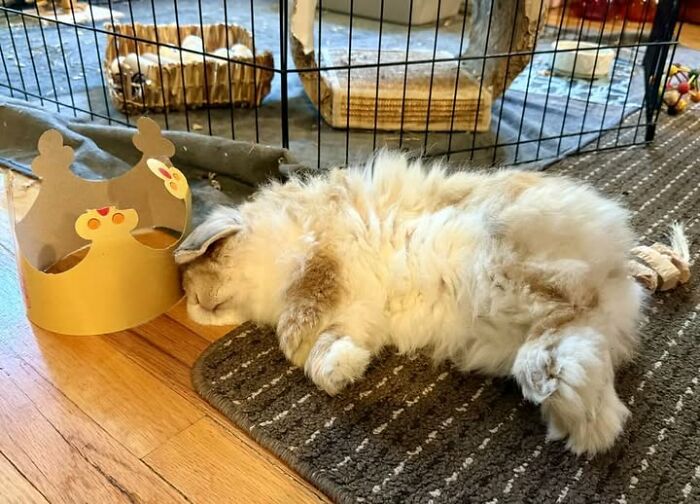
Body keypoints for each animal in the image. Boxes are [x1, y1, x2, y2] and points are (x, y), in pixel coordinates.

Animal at [175, 151, 649, 455]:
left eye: (208, 263)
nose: (195, 305)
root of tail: (619, 274)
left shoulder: (322, 255)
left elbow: (302, 312)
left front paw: (298, 341)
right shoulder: (353, 310)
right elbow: (328, 346)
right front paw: (343, 370)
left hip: (508, 263)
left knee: (568, 308)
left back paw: (554, 384)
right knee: (578, 339)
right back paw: (579, 407)